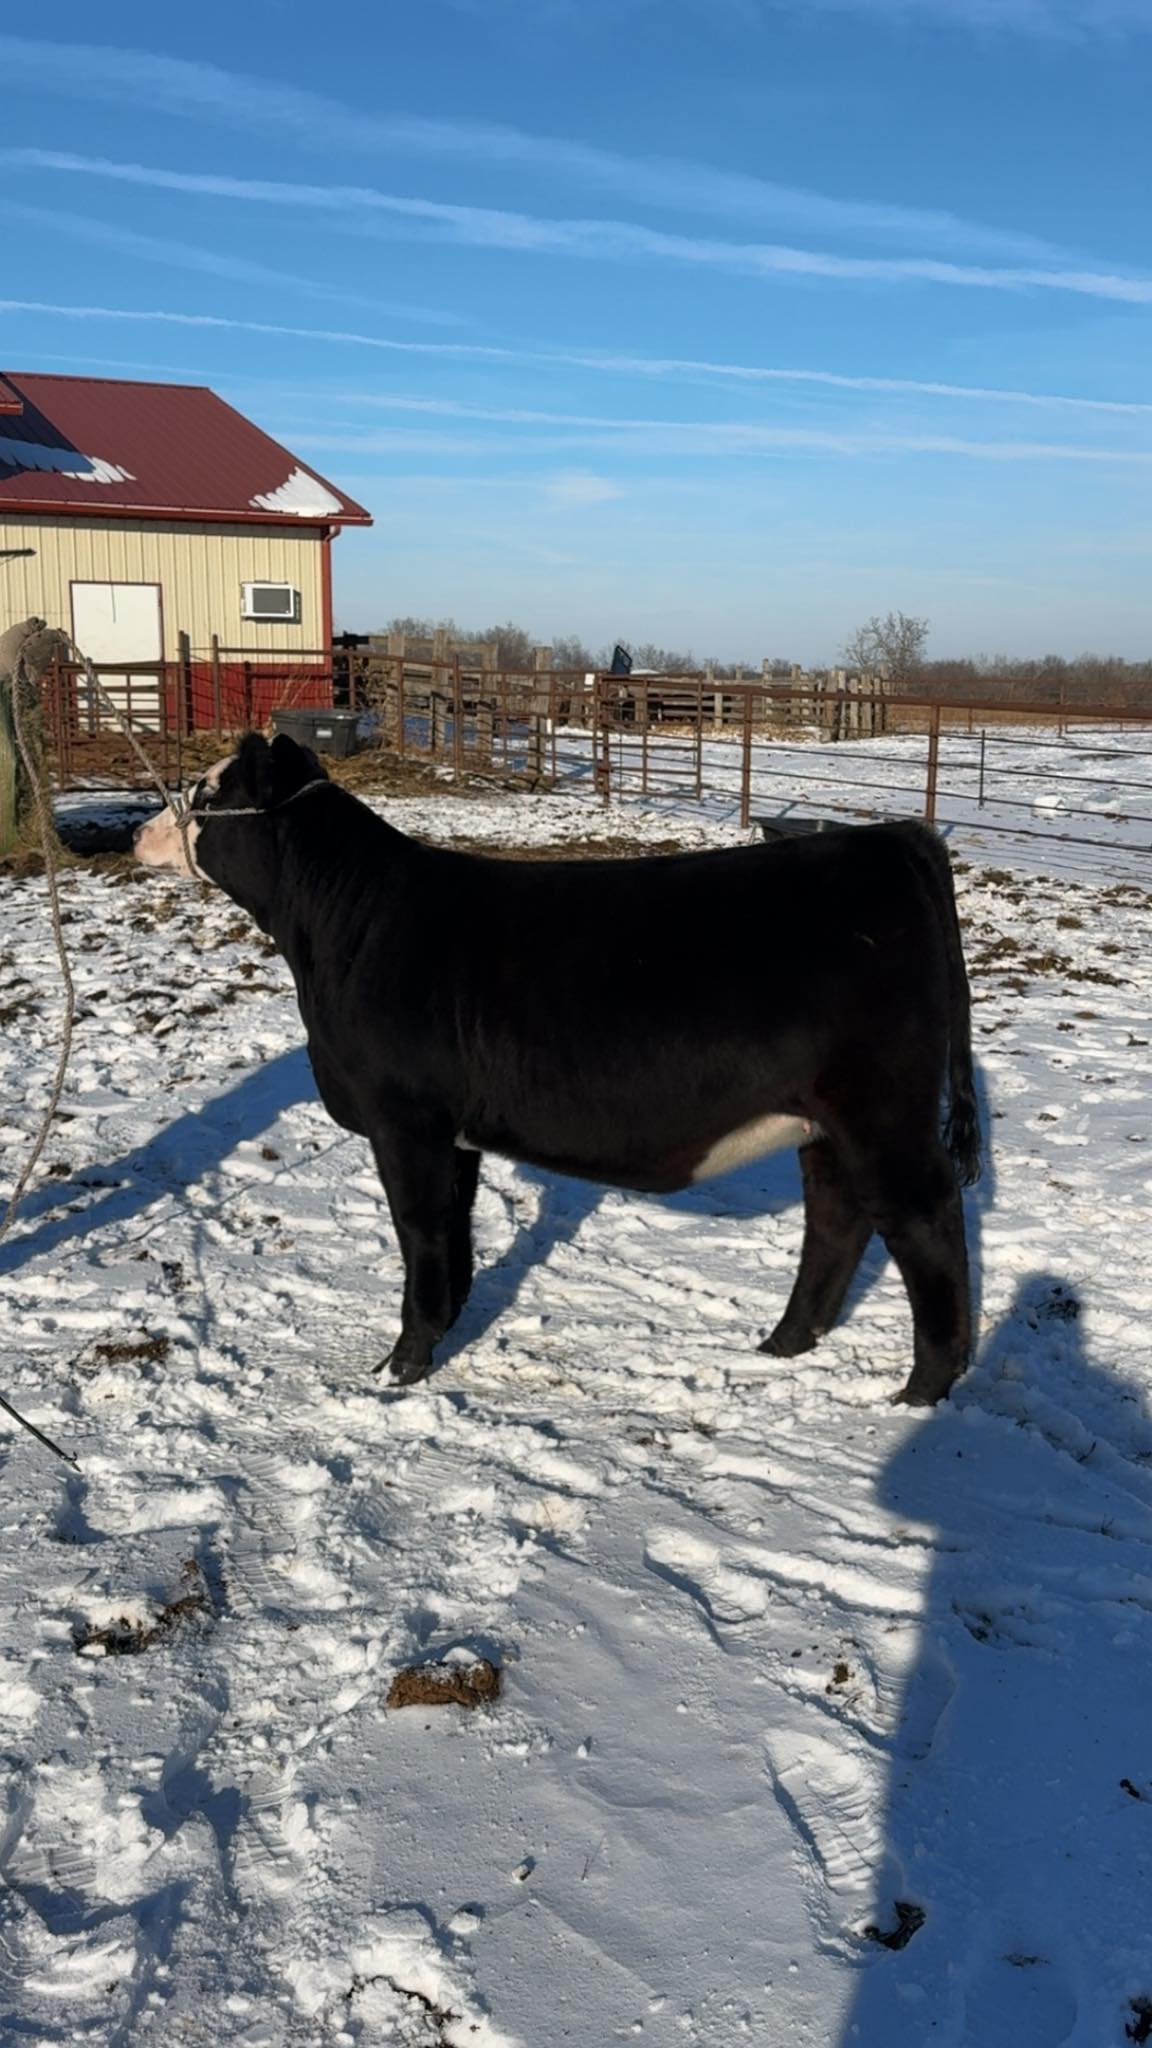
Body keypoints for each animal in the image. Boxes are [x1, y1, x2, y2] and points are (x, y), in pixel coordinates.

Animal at [135, 733, 982, 1405]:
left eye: (208, 790)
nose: (142, 831)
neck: (347, 925)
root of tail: (893, 841)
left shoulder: (403, 1117)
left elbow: (419, 1231)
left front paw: (400, 1366)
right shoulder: (455, 1131)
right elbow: (454, 1232)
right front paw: (445, 1330)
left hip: (882, 1110)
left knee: (924, 1221)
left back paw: (922, 1390)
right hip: (824, 1120)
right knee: (837, 1218)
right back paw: (784, 1343)